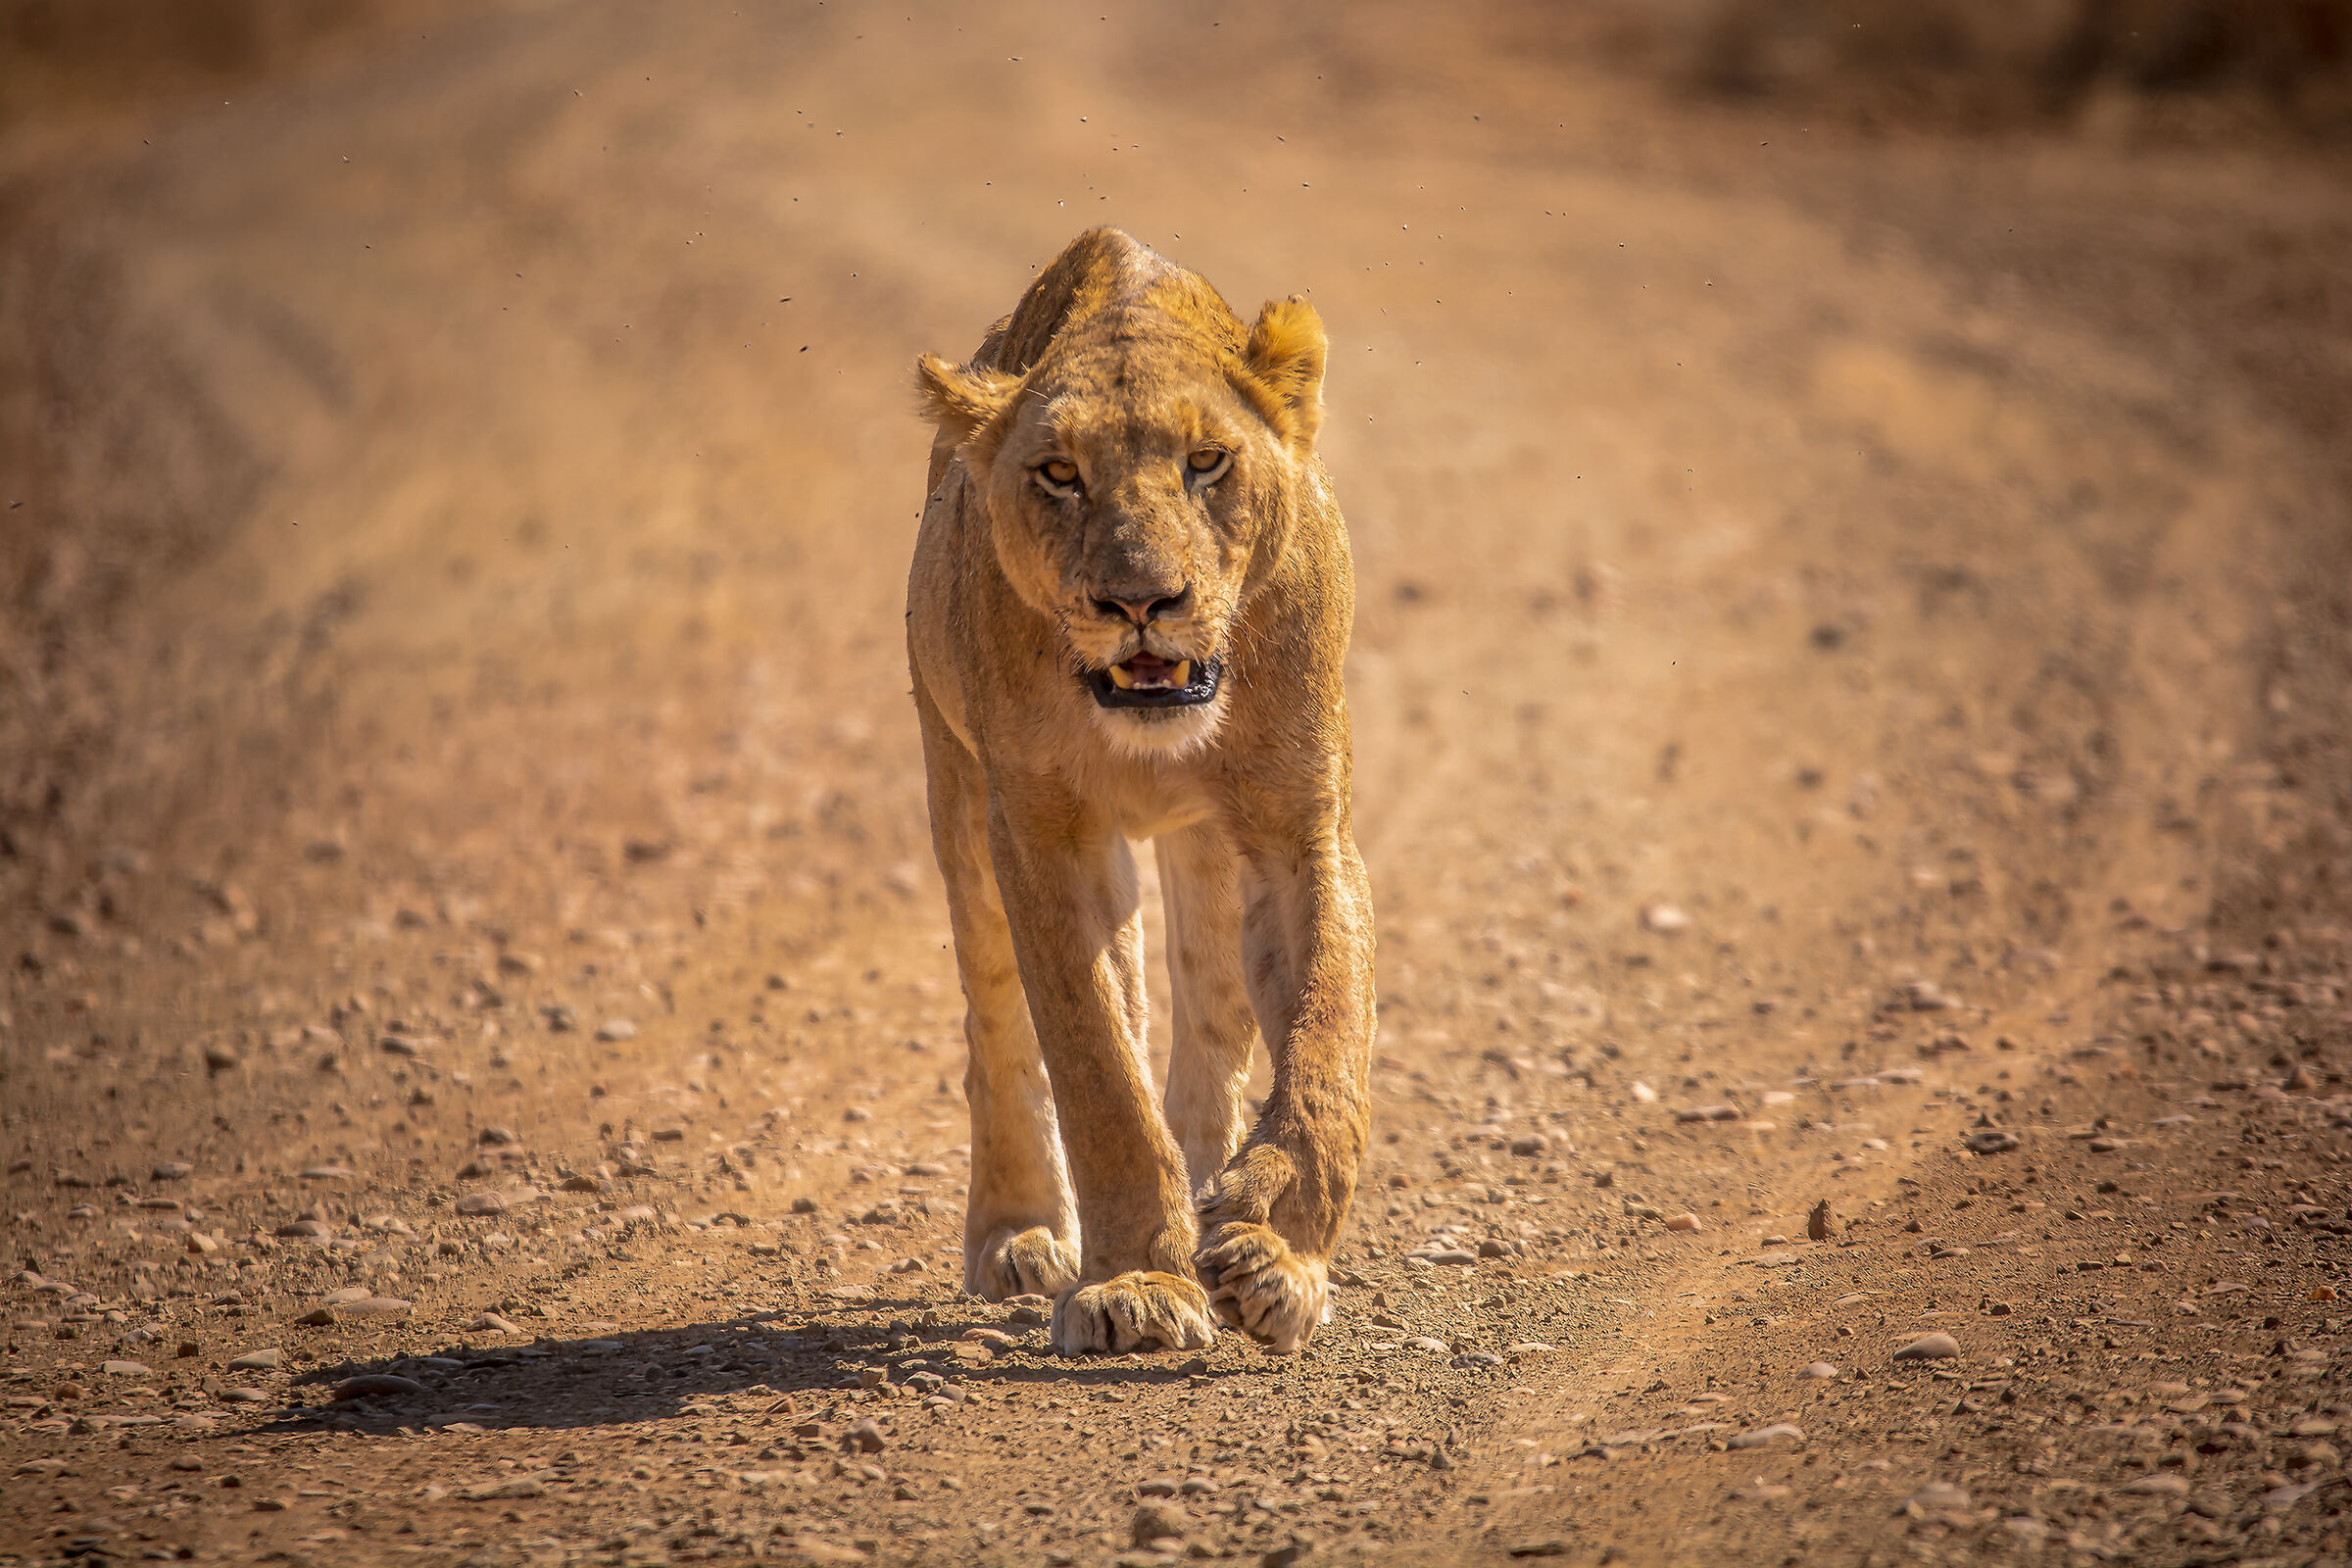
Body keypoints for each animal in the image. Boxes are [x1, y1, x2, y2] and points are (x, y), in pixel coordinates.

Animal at [906, 228, 1375, 1356]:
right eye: (1059, 474)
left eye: (1207, 462)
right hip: (956, 787)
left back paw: (1210, 1193)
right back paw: (1021, 1232)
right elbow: (1097, 1068)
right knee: (997, 1025)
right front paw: (1136, 1285)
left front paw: (1276, 1253)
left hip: (1207, 848)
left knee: (1211, 1020)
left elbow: (1328, 1038)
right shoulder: (1043, 836)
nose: (1140, 602)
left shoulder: (1304, 830)